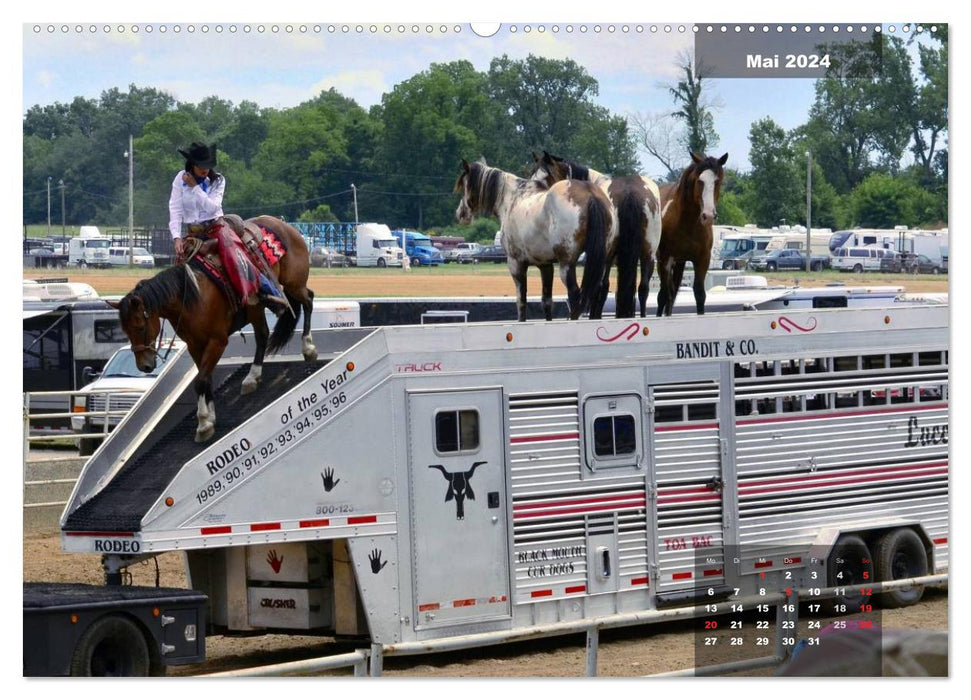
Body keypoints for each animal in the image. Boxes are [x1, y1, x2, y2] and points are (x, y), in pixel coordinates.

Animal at [108, 215, 318, 442]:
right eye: (125, 331)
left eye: (139, 327)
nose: (144, 366)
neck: (193, 294)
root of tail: (285, 226)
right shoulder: (194, 344)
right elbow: (205, 378)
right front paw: (210, 417)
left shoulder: (217, 341)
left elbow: (200, 381)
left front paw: (203, 424)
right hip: (257, 309)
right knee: (263, 335)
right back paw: (251, 377)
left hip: (294, 285)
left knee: (308, 300)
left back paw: (308, 347)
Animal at [528, 153, 664, 320]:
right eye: (532, 174)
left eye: (546, 176)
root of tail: (629, 192)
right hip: (648, 253)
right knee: (643, 287)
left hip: (609, 255)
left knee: (601, 286)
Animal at [652, 154, 728, 318]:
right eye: (700, 181)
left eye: (717, 181)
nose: (708, 216)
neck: (688, 224)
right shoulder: (665, 259)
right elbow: (663, 295)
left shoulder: (702, 259)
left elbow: (699, 294)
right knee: (666, 294)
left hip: (679, 263)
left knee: (672, 293)